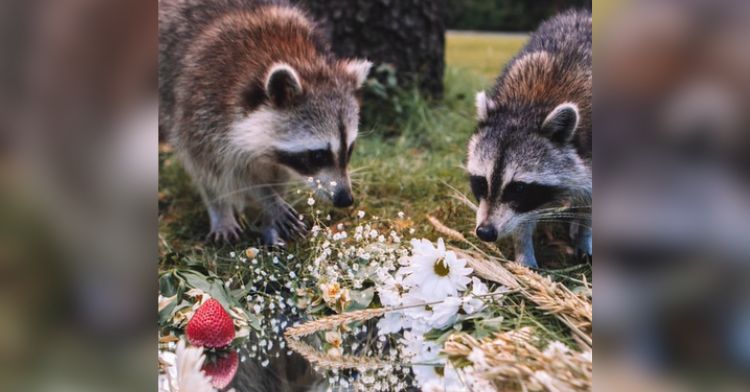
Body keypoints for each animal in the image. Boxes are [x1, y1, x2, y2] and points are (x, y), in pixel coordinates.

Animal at [160, 0, 372, 245]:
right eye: (318, 155)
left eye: (349, 149)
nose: (345, 198)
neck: (298, 59)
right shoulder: (204, 108)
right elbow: (227, 172)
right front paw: (266, 200)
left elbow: (277, 173)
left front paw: (271, 213)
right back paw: (220, 210)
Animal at [470, 9, 592, 266]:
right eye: (481, 182)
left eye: (518, 188)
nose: (485, 232)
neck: (528, 107)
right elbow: (522, 219)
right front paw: (523, 250)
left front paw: (585, 235)